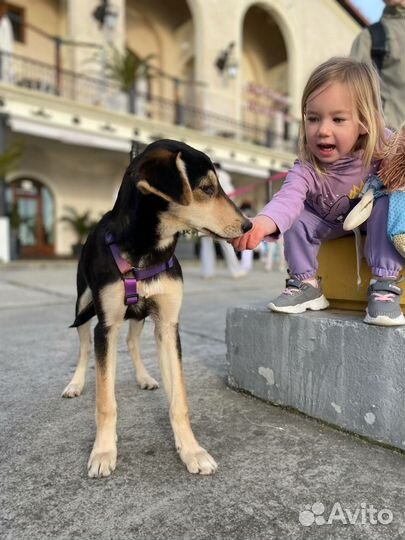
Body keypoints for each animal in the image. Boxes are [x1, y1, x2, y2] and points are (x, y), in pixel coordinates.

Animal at [61, 138, 251, 476]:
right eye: (206, 188)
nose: (248, 225)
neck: (147, 252)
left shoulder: (167, 325)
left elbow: (179, 401)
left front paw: (191, 450)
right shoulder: (106, 326)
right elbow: (105, 401)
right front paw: (103, 451)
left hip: (139, 315)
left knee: (132, 342)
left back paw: (145, 377)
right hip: (83, 304)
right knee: (84, 347)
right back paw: (76, 384)